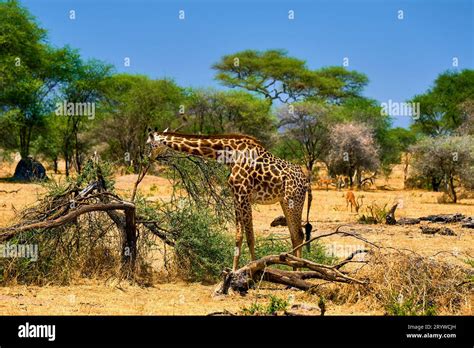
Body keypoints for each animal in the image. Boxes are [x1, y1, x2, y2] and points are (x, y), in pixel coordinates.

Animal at [146, 129, 312, 270]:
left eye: (149, 143)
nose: (148, 157)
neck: (230, 154)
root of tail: (306, 182)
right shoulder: (237, 197)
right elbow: (240, 235)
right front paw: (236, 271)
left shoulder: (243, 195)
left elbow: (249, 236)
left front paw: (252, 270)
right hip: (285, 202)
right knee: (294, 235)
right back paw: (294, 271)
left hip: (293, 201)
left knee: (299, 234)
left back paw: (297, 273)